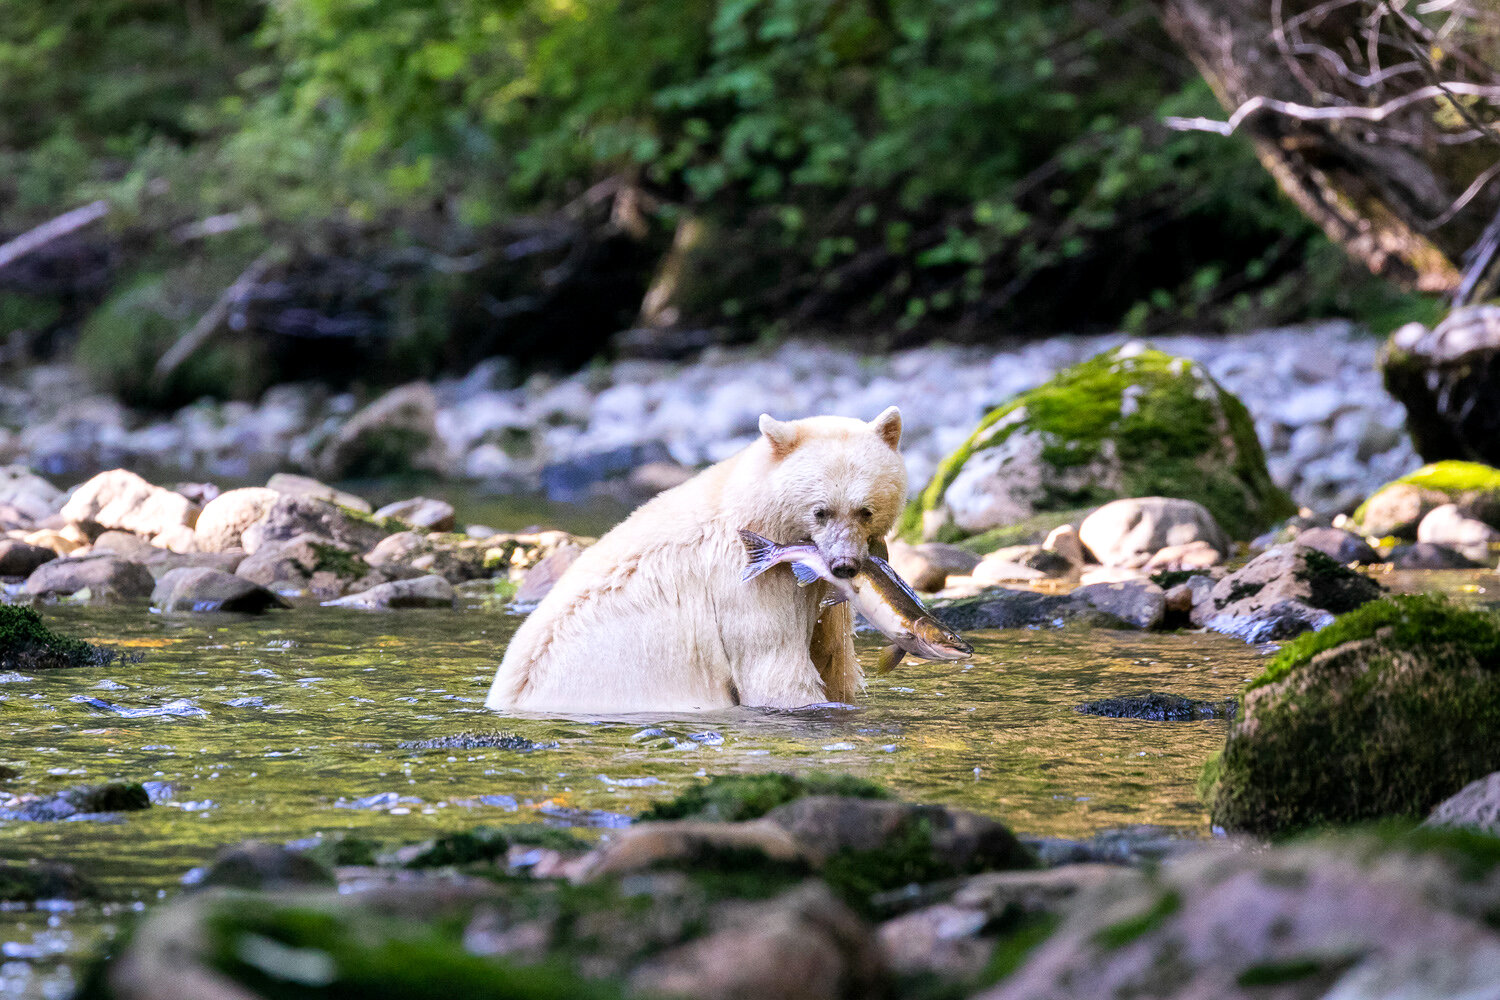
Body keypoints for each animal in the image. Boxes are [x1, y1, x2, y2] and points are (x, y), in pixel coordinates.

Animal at [486, 410, 900, 716]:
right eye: (820, 511)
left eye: (865, 510)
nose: (844, 564)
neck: (755, 512)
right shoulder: (748, 586)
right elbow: (774, 668)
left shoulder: (819, 593)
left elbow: (831, 659)